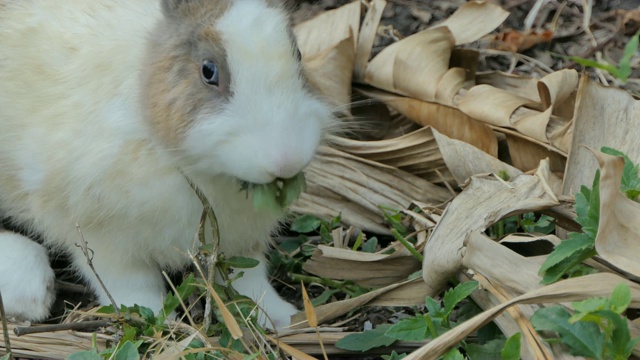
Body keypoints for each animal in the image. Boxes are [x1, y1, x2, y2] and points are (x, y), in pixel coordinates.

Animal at [0, 0, 332, 330]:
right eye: (208, 70)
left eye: (297, 54)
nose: (287, 159)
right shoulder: (103, 236)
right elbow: (131, 283)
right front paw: (159, 320)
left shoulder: (239, 240)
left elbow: (250, 278)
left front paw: (280, 317)